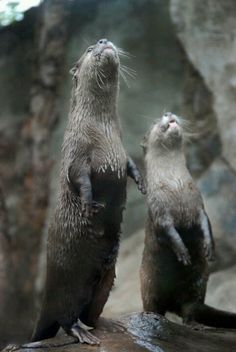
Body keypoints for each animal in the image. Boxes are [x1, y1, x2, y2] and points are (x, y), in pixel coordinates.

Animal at [31, 38, 146, 344]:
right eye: (89, 48)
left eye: (99, 41)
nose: (104, 41)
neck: (101, 131)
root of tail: (46, 297)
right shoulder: (76, 153)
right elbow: (79, 178)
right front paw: (88, 204)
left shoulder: (120, 149)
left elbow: (130, 164)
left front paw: (142, 182)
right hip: (68, 284)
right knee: (66, 317)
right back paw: (82, 333)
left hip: (105, 280)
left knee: (91, 311)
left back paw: (108, 324)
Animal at [140, 112, 236, 328]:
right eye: (155, 121)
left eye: (167, 112)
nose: (167, 113)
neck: (175, 185)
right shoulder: (159, 209)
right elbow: (168, 230)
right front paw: (182, 252)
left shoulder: (197, 203)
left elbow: (205, 222)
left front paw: (209, 247)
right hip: (148, 284)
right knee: (153, 305)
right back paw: (152, 317)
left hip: (197, 285)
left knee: (190, 307)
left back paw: (194, 324)